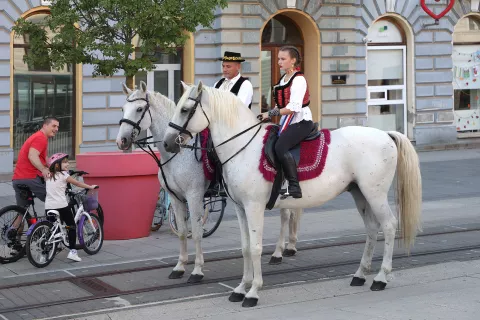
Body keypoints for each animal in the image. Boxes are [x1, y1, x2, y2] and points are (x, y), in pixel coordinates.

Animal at [116, 82, 302, 282]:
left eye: (139, 109)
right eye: (123, 108)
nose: (121, 141)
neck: (178, 155)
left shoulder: (194, 196)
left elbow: (197, 233)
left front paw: (197, 270)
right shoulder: (176, 197)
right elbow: (182, 232)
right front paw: (180, 266)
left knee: (285, 217)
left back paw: (279, 252)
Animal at [163, 82, 422, 308]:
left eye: (185, 109)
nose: (167, 143)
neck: (243, 147)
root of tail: (386, 135)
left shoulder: (254, 207)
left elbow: (256, 248)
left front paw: (253, 292)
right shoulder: (240, 208)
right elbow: (246, 247)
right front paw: (240, 288)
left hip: (374, 193)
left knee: (389, 226)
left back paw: (380, 277)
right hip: (360, 194)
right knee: (371, 228)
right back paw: (360, 274)